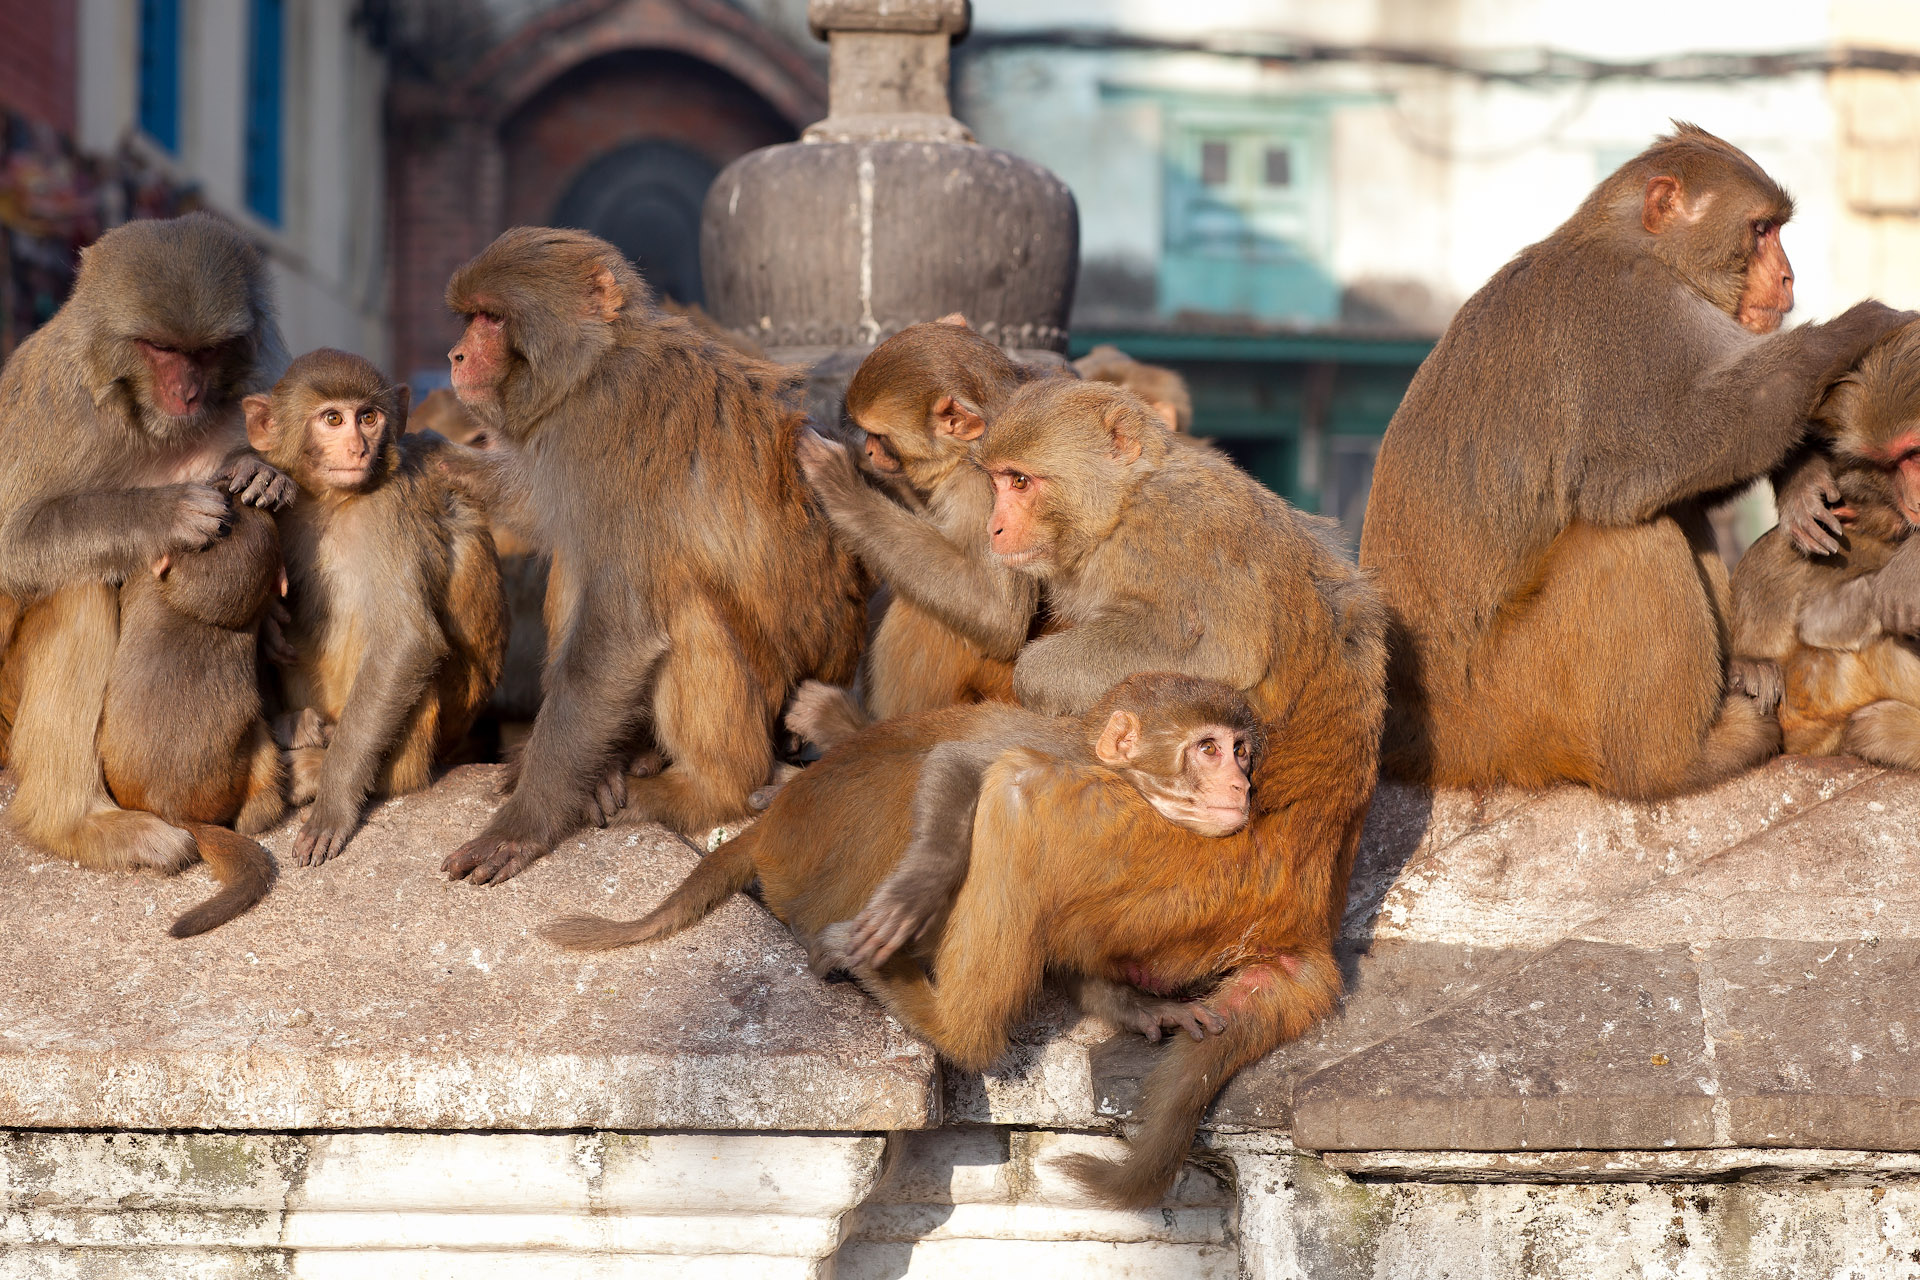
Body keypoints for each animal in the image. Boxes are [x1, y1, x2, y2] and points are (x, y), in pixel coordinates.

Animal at [0, 220, 291, 882]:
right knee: (76, 585)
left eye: (204, 352)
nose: (187, 392)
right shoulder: (55, 401)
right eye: (160, 348)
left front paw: (257, 470)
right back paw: (76, 823)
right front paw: (168, 513)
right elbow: (10, 541)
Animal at [243, 351, 506, 867]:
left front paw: (334, 803)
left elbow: (407, 640)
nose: (358, 448)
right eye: (332, 419)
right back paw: (294, 726)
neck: (332, 500)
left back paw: (316, 766)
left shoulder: (390, 509)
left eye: (368, 417)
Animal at [541, 671, 1259, 1082]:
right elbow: (960, 764)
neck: (1117, 778)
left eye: (1241, 749)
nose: (1241, 785)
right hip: (826, 853)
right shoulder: (1065, 771)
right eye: (1206, 748)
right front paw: (913, 895)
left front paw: (1139, 1006)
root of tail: (775, 830)